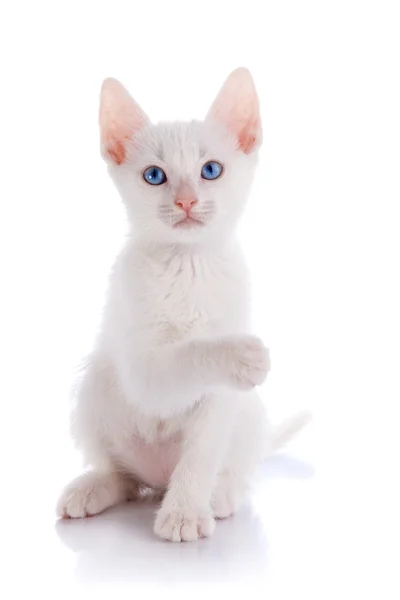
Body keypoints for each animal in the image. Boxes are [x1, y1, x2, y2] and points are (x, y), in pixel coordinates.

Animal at [57, 68, 310, 540]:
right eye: (155, 176)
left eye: (211, 170)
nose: (186, 200)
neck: (187, 265)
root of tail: (158, 479)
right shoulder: (144, 370)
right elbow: (184, 355)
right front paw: (238, 355)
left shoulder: (222, 401)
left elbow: (202, 453)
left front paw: (185, 512)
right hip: (97, 381)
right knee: (123, 478)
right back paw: (94, 488)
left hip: (248, 413)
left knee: (230, 467)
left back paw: (220, 495)